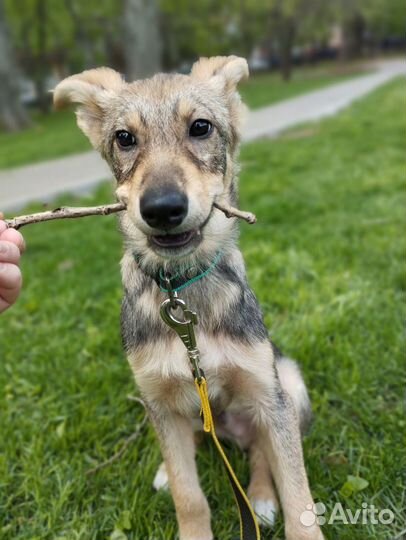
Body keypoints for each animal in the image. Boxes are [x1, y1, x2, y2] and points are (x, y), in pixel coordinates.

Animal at [54, 57, 324, 536]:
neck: (184, 290)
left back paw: (259, 498)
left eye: (201, 127)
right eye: (124, 138)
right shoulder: (158, 398)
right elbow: (189, 494)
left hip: (287, 383)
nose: (161, 208)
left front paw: (284, 510)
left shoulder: (267, 393)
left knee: (260, 451)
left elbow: (297, 492)